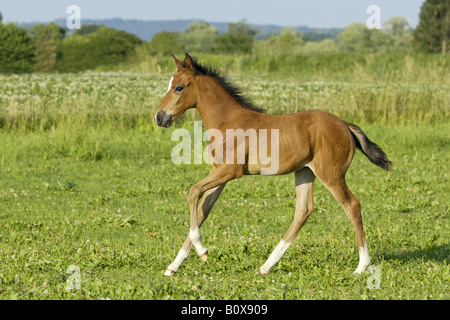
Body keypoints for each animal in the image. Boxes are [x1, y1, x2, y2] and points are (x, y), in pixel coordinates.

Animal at [155, 53, 390, 276]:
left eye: (178, 87)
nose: (159, 117)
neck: (227, 122)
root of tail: (344, 124)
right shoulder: (219, 174)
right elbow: (204, 208)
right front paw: (174, 266)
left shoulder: (230, 171)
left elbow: (193, 192)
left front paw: (202, 251)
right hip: (304, 172)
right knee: (304, 210)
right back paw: (268, 265)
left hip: (331, 174)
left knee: (352, 205)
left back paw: (362, 266)